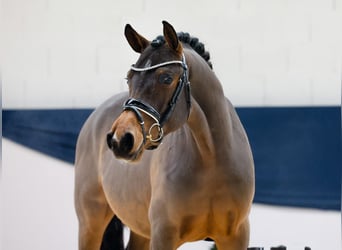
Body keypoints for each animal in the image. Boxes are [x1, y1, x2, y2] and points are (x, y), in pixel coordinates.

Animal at [75, 20, 256, 249]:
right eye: (129, 78)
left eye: (167, 78)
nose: (120, 139)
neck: (211, 156)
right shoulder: (163, 235)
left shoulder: (236, 236)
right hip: (90, 223)